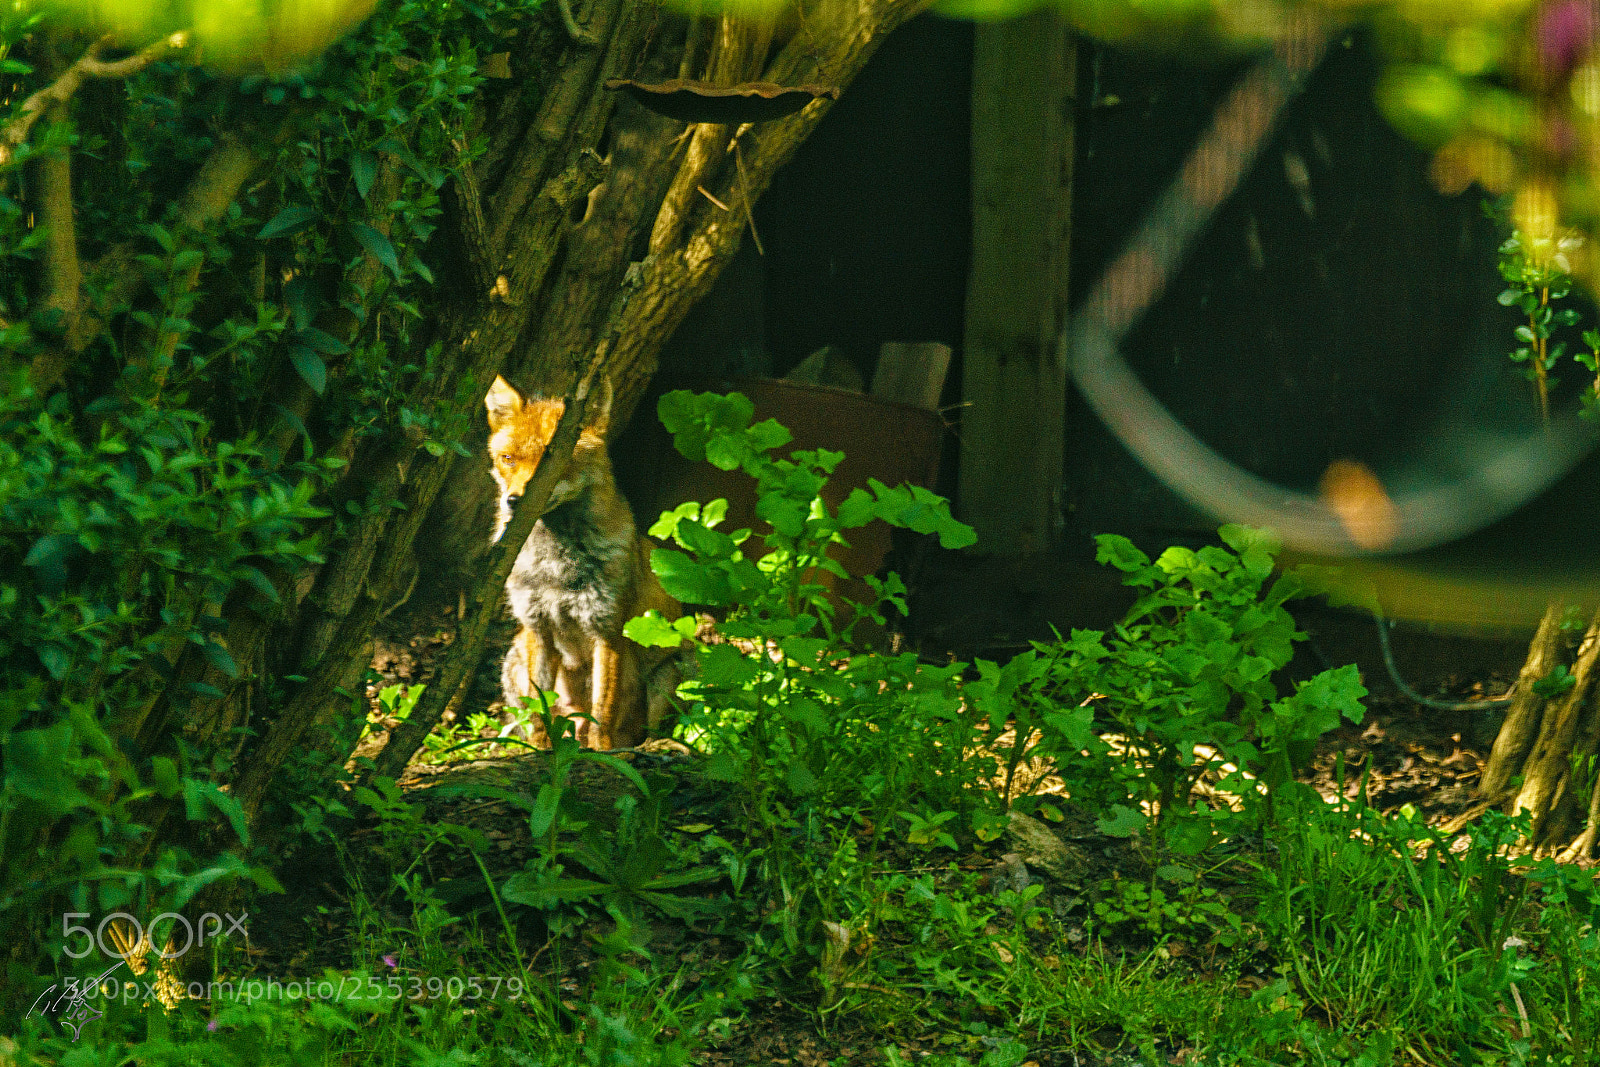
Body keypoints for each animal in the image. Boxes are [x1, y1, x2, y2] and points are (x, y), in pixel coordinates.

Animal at [484, 374, 683, 750]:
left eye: (555, 463)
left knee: (645, 731)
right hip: (513, 659)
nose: (514, 501)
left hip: (674, 668)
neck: (555, 569)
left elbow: (603, 710)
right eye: (508, 458)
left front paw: (600, 753)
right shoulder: (537, 627)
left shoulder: (608, 629)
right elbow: (540, 711)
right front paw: (542, 751)